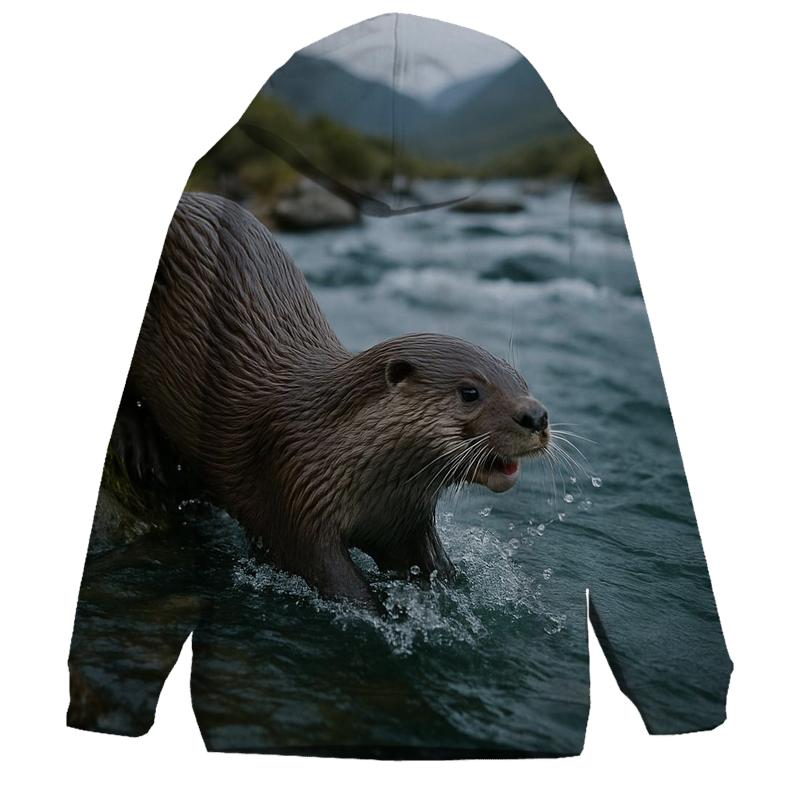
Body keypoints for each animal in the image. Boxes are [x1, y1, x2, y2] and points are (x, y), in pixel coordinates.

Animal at [125, 192, 550, 606]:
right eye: (470, 392)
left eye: (522, 381)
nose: (537, 416)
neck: (332, 446)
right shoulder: (292, 494)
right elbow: (333, 580)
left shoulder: (404, 522)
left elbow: (432, 568)